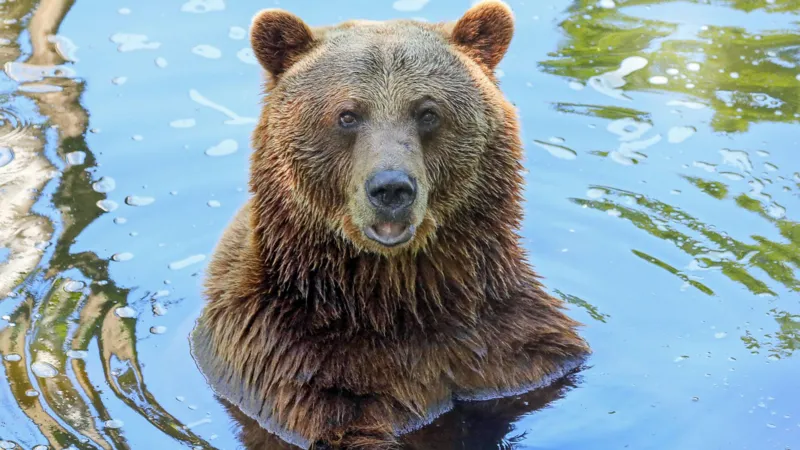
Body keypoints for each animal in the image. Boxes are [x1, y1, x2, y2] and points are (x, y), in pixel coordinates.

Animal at [190, 1, 590, 449]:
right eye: (347, 115)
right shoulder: (297, 370)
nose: (391, 188)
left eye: (428, 112)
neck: (395, 299)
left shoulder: (512, 347)